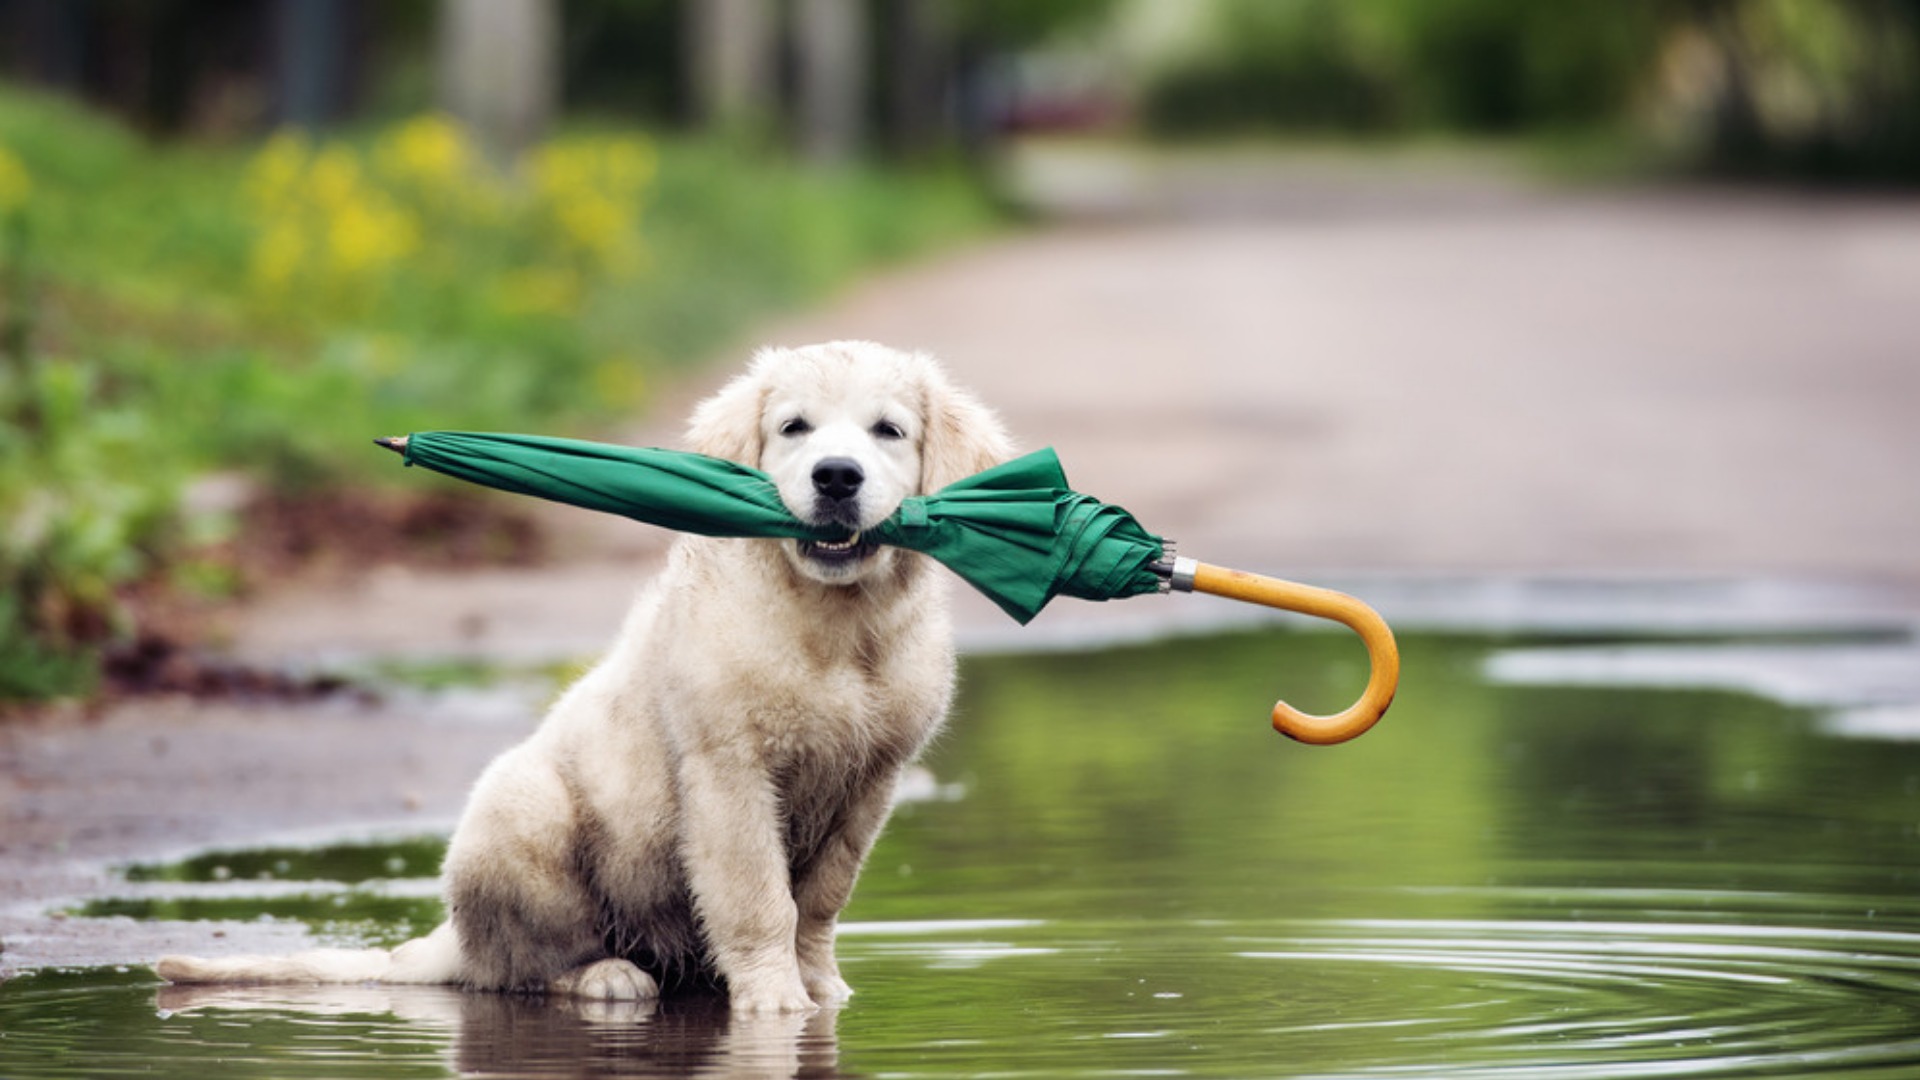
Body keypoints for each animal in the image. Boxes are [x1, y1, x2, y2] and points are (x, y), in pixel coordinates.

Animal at [157, 338, 1013, 1006]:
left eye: (888, 431)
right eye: (793, 428)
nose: (836, 475)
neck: (834, 623)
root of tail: (449, 937)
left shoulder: (872, 781)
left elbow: (821, 902)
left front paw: (822, 989)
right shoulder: (729, 772)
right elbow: (759, 899)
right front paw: (776, 1006)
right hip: (523, 809)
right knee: (518, 967)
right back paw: (602, 978)